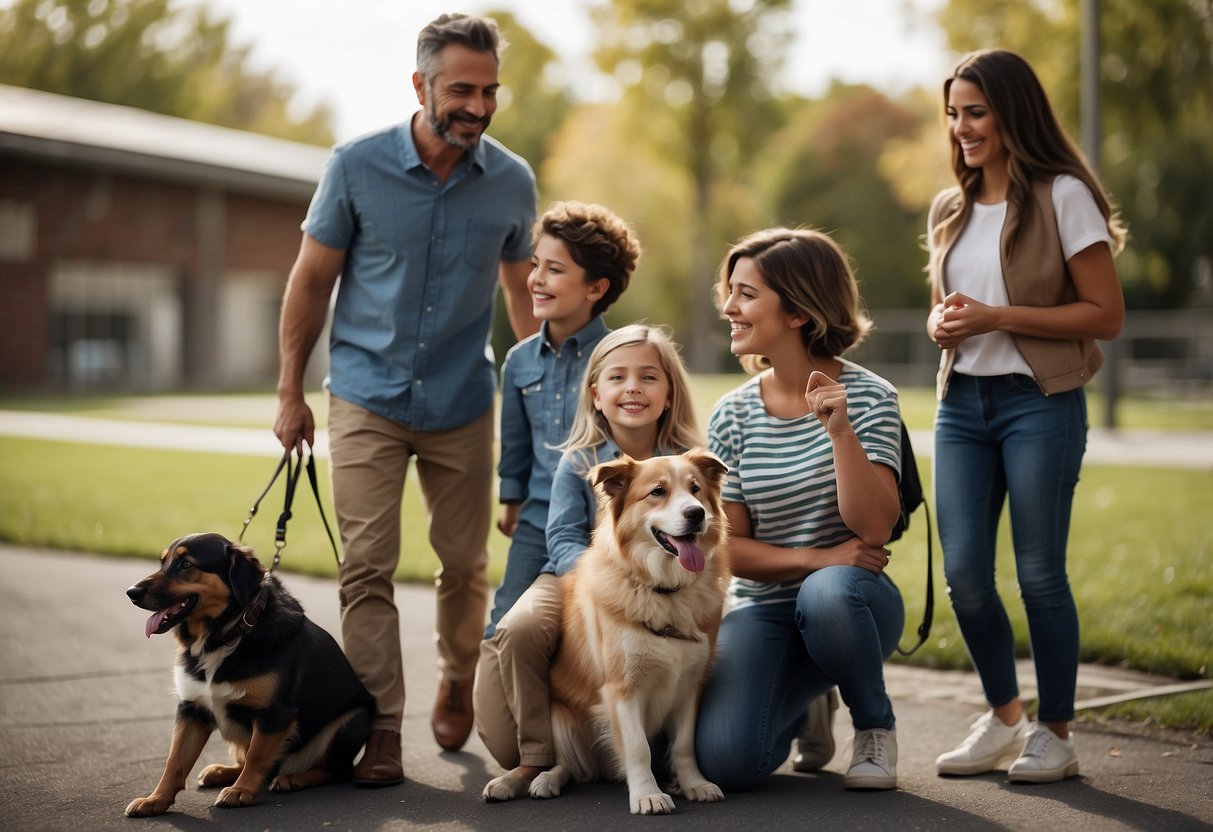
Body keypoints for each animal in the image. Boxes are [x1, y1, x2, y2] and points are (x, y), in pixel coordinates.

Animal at [123, 531, 371, 819]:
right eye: (162, 562)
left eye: (186, 564)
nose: (131, 592)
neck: (224, 636)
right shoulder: (190, 709)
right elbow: (174, 761)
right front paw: (155, 799)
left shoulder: (275, 715)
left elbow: (256, 755)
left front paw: (241, 791)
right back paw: (222, 772)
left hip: (353, 719)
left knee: (337, 770)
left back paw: (294, 778)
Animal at [533, 448, 722, 815]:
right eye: (658, 491)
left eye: (696, 489)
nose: (696, 514)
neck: (664, 591)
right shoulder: (622, 690)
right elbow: (637, 748)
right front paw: (647, 794)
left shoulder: (690, 686)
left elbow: (684, 745)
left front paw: (694, 784)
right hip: (558, 718)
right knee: (568, 765)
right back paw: (545, 779)